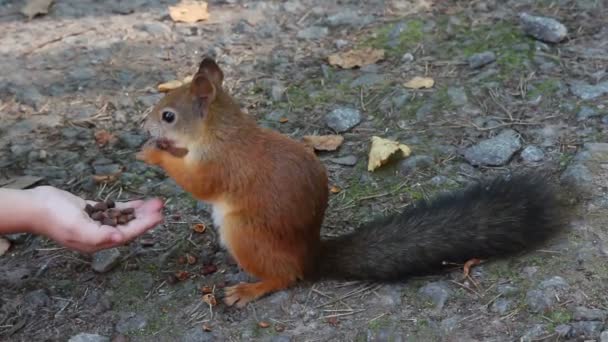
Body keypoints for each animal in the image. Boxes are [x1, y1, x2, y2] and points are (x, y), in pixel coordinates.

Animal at [138, 57, 568, 308]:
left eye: (169, 115)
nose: (145, 125)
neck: (220, 131)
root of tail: (310, 256)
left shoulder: (220, 164)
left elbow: (198, 183)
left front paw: (152, 152)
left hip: (245, 233)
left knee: (286, 277)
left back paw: (250, 289)